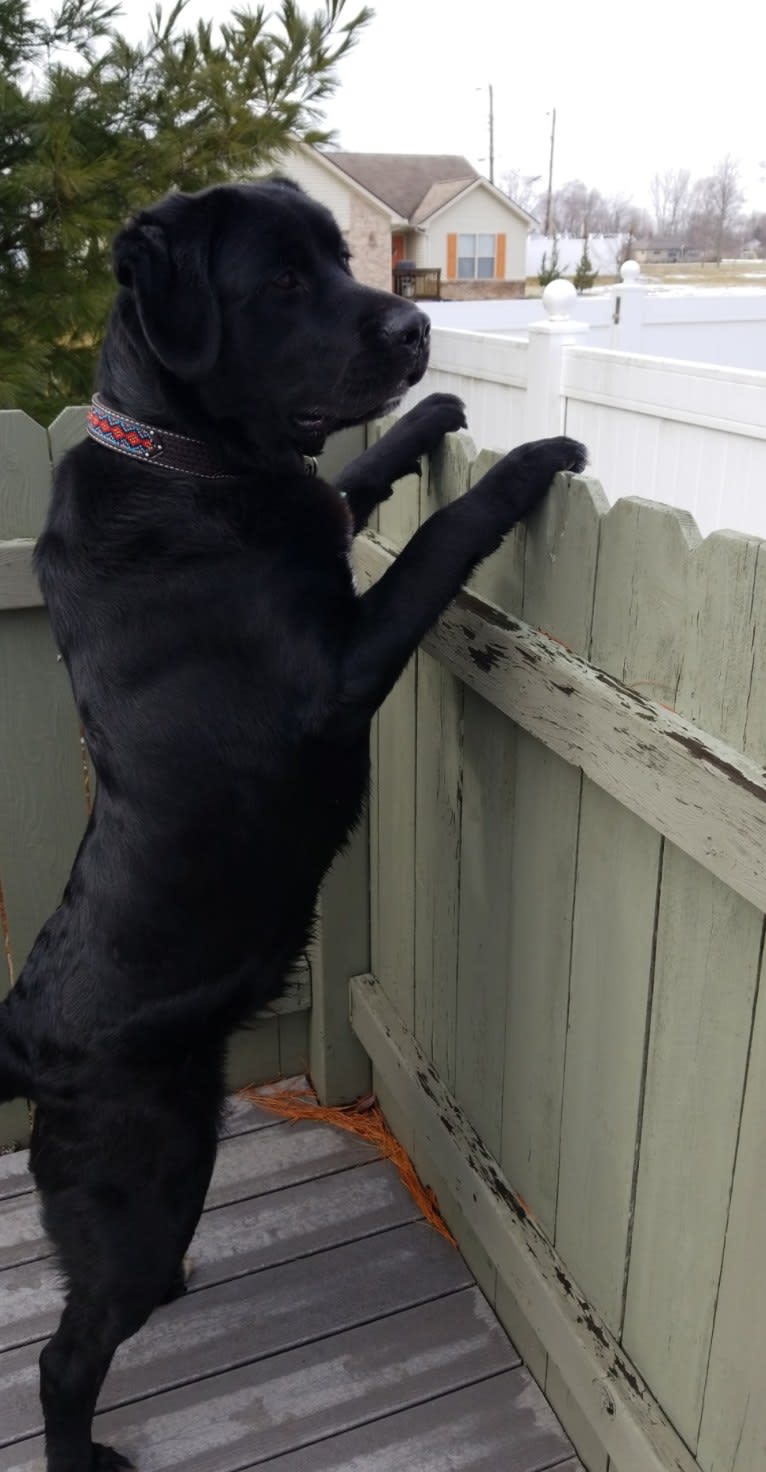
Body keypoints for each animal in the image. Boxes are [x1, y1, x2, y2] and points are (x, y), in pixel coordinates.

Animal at [0, 175, 586, 1472]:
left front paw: (435, 420)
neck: (188, 465)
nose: (417, 334)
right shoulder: (336, 671)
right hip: (141, 1176)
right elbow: (430, 548)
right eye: (278, 281)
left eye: (338, 260)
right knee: (65, 1352)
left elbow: (352, 481)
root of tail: (26, 1037)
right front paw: (526, 462)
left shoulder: (322, 518)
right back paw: (80, 1446)